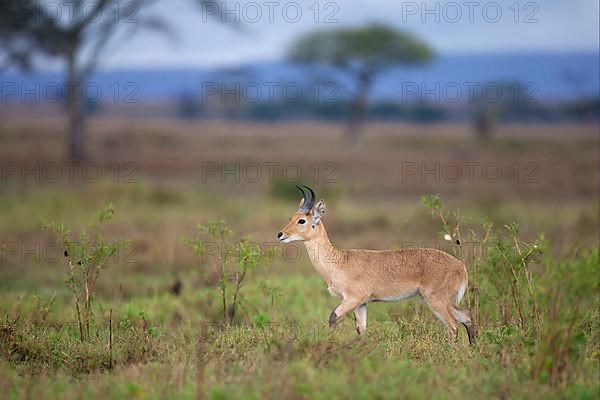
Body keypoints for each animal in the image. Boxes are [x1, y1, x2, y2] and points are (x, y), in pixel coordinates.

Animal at [278, 184, 478, 344]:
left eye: (302, 220)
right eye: (292, 217)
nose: (280, 234)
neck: (340, 261)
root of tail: (460, 265)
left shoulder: (352, 299)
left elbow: (332, 318)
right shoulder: (361, 304)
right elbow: (361, 329)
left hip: (436, 300)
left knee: (453, 325)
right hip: (444, 301)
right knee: (466, 316)